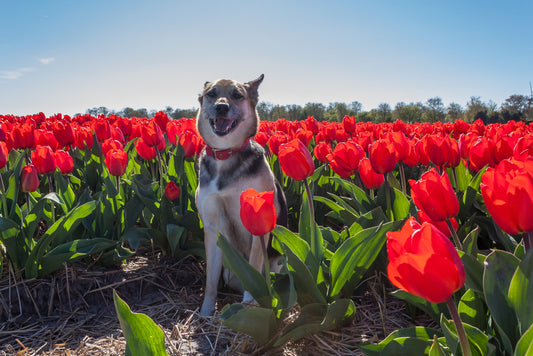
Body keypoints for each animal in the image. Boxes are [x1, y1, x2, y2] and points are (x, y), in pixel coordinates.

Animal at [195, 74, 286, 314]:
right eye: (211, 94)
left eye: (237, 95)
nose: (221, 107)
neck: (226, 155)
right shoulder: (212, 228)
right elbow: (210, 280)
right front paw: (206, 312)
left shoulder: (258, 227)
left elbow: (253, 270)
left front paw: (248, 305)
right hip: (229, 272)